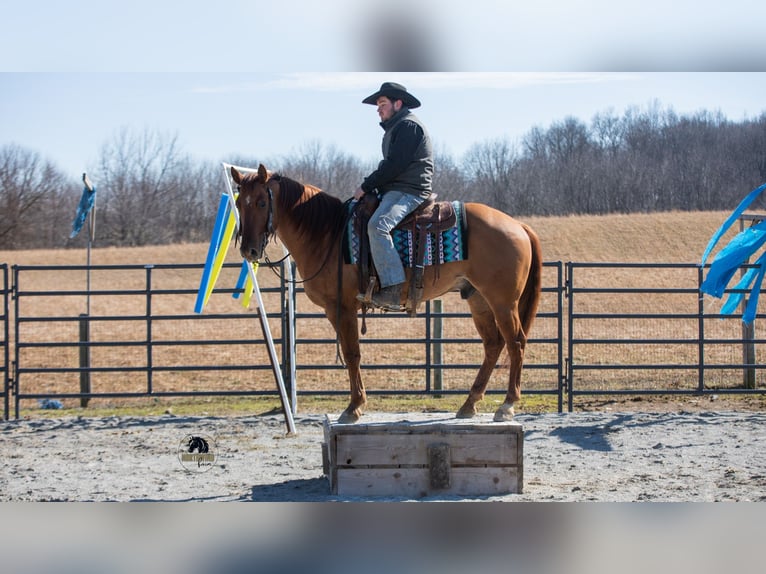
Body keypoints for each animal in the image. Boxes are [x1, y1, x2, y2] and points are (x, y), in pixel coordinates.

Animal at [231, 164, 542, 424]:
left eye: (261, 202)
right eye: (237, 203)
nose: (249, 250)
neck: (326, 234)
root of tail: (519, 225)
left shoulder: (342, 308)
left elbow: (352, 353)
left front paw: (354, 407)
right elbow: (351, 353)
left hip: (503, 302)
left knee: (515, 342)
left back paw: (507, 405)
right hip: (478, 300)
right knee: (493, 345)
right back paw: (469, 404)